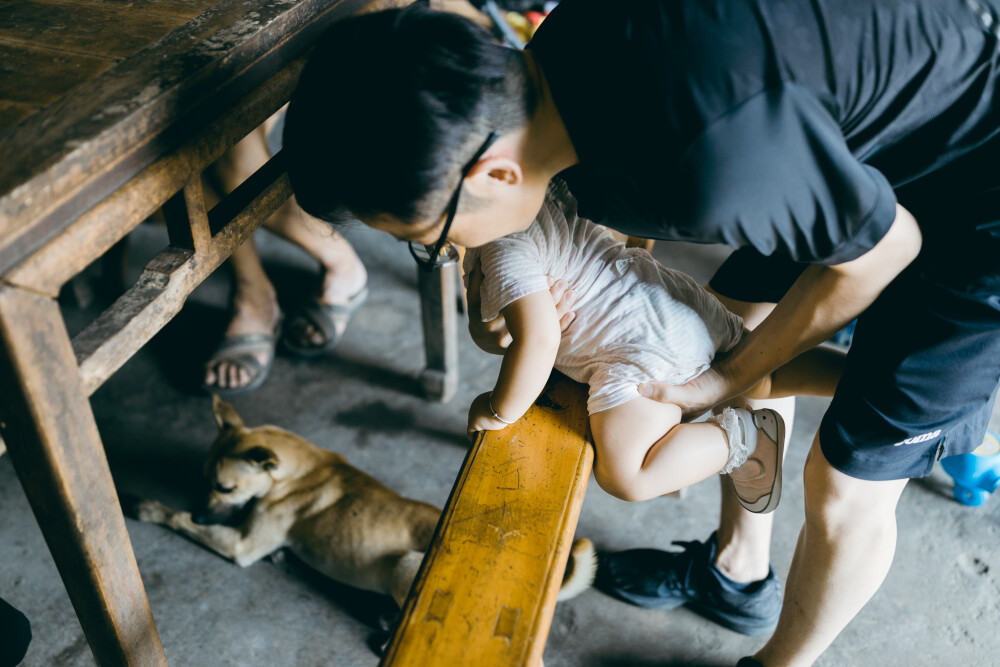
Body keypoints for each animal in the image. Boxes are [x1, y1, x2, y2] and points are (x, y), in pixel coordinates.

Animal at [135, 396, 592, 612]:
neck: (298, 470)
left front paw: (153, 509)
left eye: (225, 488)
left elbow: (181, 521)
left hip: (404, 569)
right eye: (206, 480)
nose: (202, 511)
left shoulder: (241, 546)